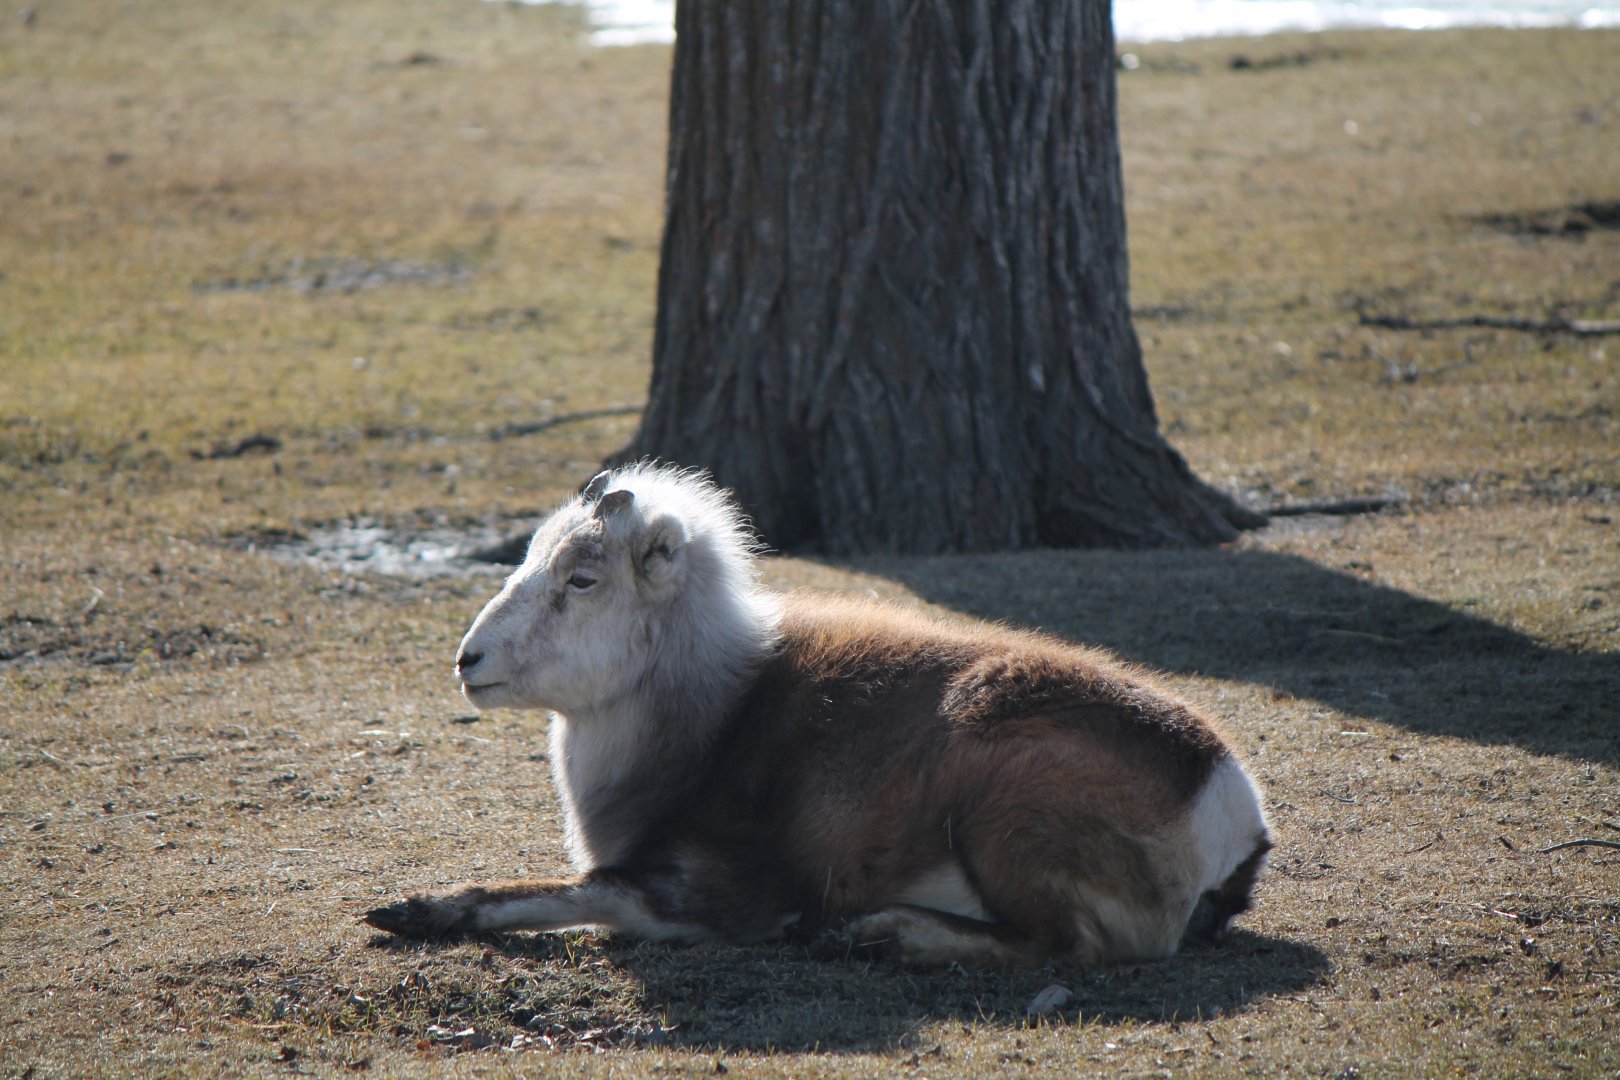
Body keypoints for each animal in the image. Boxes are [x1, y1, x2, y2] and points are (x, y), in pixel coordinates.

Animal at [363, 464, 1270, 966]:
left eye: (582, 578)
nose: (469, 661)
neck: (715, 717)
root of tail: (1226, 803)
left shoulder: (711, 899)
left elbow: (584, 892)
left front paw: (410, 911)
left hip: (1003, 828)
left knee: (1064, 947)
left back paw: (873, 937)